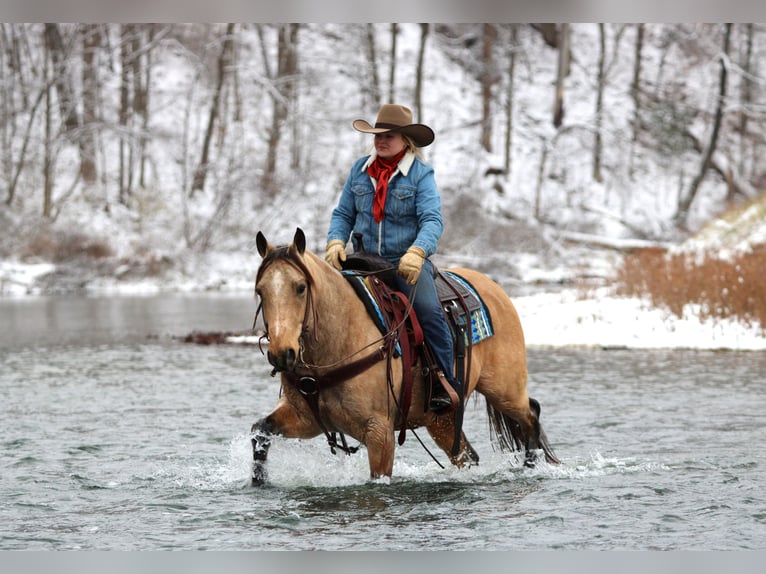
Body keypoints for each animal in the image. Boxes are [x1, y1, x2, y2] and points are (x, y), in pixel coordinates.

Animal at [250, 227, 558, 484]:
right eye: (260, 291)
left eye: (300, 287)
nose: (282, 354)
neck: (339, 339)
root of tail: (495, 289)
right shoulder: (306, 420)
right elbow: (260, 432)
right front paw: (258, 482)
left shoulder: (380, 433)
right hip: (442, 419)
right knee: (468, 456)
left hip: (504, 389)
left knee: (530, 414)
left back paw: (530, 468)